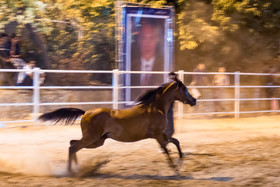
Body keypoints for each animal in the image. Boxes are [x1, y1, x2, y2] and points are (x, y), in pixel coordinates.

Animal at [39, 76, 196, 173]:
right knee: (73, 147)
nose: (194, 100)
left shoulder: (161, 134)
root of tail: (85, 113)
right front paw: (175, 168)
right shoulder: (157, 134)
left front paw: (180, 160)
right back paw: (71, 171)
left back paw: (77, 168)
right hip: (91, 138)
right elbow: (167, 150)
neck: (156, 107)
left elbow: (175, 141)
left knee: (72, 144)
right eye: (184, 89)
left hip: (97, 141)